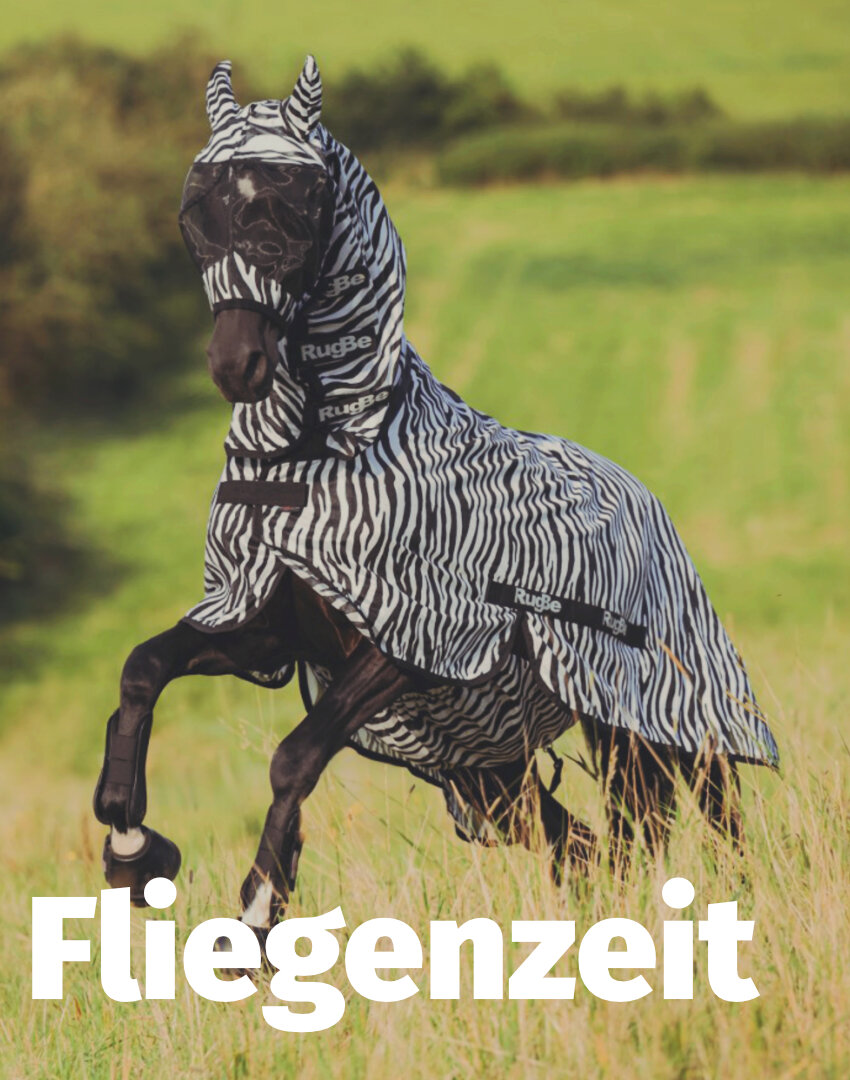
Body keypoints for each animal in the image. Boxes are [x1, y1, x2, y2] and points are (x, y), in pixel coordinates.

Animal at [94, 57, 779, 942]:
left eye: (296, 209)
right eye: (196, 211)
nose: (236, 365)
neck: (321, 457)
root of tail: (640, 497)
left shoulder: (413, 643)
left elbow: (294, 756)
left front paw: (254, 915)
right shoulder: (265, 626)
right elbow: (143, 670)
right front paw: (130, 843)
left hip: (666, 717)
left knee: (716, 815)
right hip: (490, 773)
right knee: (592, 845)